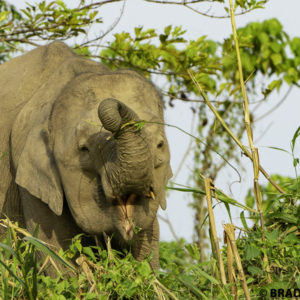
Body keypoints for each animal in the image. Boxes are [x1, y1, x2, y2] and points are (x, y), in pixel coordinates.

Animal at [0, 41, 171, 268]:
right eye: (84, 149)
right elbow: (55, 250)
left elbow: (147, 245)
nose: (116, 104)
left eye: (160, 145)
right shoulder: (29, 180)